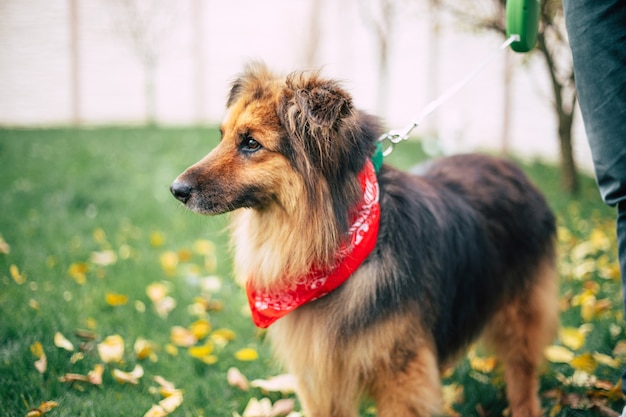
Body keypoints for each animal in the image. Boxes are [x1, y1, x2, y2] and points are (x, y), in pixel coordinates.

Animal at [171, 62, 556, 416]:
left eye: (251, 143)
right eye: (222, 135)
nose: (176, 190)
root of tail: (512, 167)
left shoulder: (402, 377)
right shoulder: (320, 378)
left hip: (520, 317)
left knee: (522, 376)